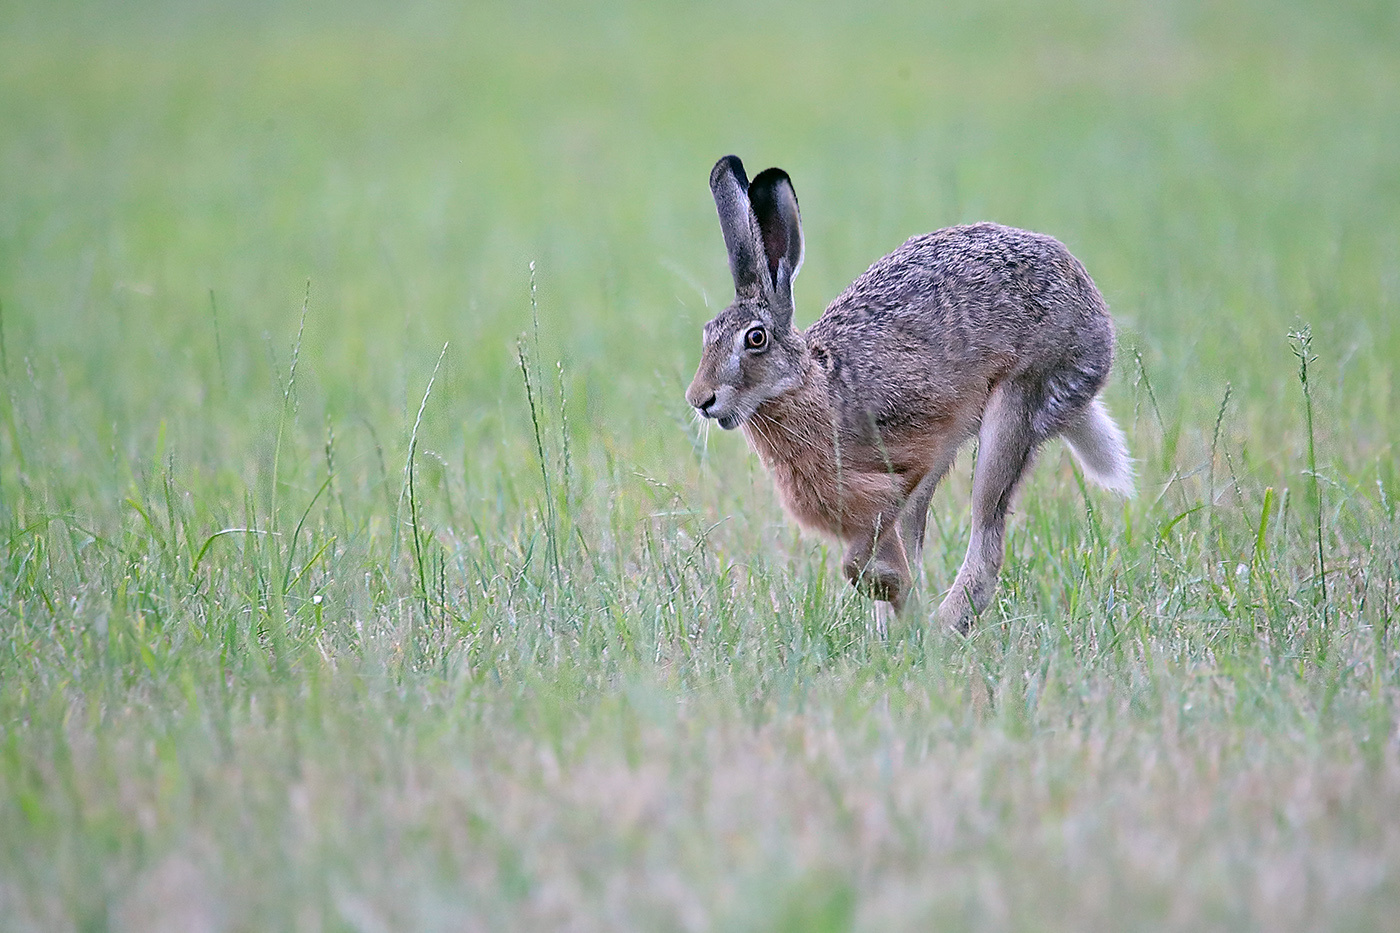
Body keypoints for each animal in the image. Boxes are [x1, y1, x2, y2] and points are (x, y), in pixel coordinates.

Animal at [685, 155, 1134, 634]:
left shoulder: (911, 458)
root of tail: (1094, 315)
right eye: (707, 334)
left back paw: (940, 627)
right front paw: (895, 601)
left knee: (987, 532)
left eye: (755, 339)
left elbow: (861, 558)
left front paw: (893, 589)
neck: (816, 385)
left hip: (1017, 402)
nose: (700, 399)